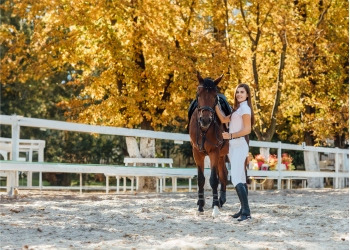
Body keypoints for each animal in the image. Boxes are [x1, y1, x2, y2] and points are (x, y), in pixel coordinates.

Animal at [189, 72, 230, 217]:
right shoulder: (197, 152)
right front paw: (201, 205)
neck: (204, 129)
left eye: (214, 96)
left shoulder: (214, 152)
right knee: (223, 173)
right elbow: (201, 179)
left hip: (222, 154)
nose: (205, 120)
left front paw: (215, 207)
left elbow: (213, 179)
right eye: (198, 94)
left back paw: (220, 200)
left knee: (223, 174)